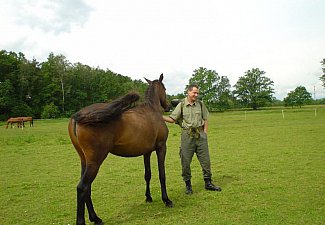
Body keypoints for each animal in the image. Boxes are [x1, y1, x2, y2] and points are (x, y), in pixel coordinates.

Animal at [67, 74, 172, 225]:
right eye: (165, 88)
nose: (169, 105)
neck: (152, 110)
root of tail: (78, 116)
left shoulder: (146, 152)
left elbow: (148, 174)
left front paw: (148, 197)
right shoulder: (161, 147)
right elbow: (162, 174)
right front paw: (167, 200)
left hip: (84, 161)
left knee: (87, 188)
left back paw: (95, 218)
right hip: (95, 162)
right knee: (82, 187)